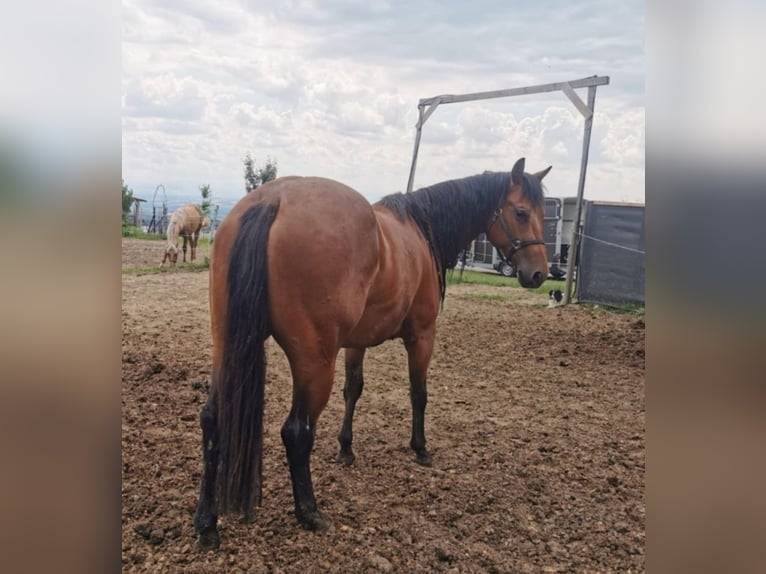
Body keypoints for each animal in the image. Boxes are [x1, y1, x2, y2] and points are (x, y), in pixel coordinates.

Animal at [193, 157, 551, 549]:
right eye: (521, 212)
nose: (540, 273)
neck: (419, 230)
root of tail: (272, 200)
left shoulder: (356, 342)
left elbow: (354, 390)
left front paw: (346, 449)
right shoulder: (422, 336)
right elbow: (418, 393)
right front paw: (420, 448)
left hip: (226, 347)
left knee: (212, 420)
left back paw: (207, 525)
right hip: (314, 362)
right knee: (296, 431)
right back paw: (310, 512)